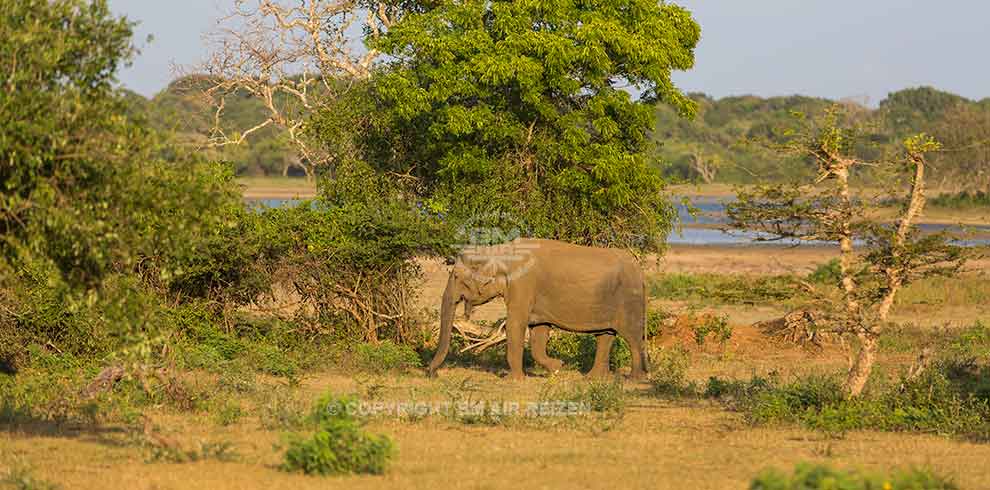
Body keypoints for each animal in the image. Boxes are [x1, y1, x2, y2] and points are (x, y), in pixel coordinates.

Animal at [428, 237, 652, 378]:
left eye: (456, 277)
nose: (432, 373)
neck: (499, 251)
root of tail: (640, 271)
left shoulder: (522, 285)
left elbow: (515, 325)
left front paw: (513, 380)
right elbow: (539, 331)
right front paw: (557, 368)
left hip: (629, 300)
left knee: (631, 337)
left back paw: (634, 379)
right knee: (605, 336)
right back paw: (593, 378)